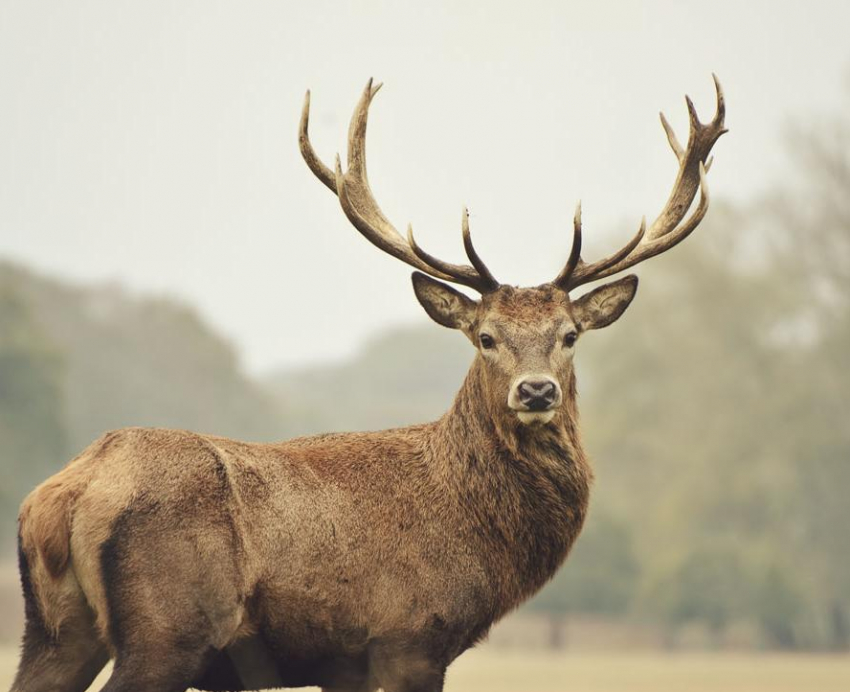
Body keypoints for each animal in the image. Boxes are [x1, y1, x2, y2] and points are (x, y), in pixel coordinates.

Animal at [11, 77, 724, 692]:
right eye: (485, 337)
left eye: (570, 334)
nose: (536, 392)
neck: (476, 532)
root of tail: (64, 492)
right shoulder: (411, 636)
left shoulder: (343, 663)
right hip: (167, 630)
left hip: (54, 631)